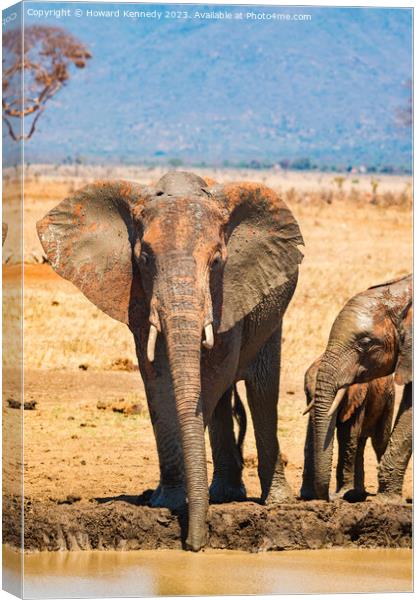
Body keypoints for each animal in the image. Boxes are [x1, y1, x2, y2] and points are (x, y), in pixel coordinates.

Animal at [37, 171, 306, 552]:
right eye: (145, 258)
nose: (194, 544)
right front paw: (169, 500)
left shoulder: (229, 290)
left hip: (274, 307)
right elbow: (155, 377)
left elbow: (214, 373)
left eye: (217, 261)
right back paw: (224, 496)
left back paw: (275, 501)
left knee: (262, 391)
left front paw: (183, 504)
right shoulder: (136, 295)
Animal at [302, 356, 394, 502]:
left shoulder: (359, 395)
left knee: (379, 442)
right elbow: (311, 433)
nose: (330, 498)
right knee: (361, 443)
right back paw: (358, 494)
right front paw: (307, 495)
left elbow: (346, 435)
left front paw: (342, 494)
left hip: (389, 398)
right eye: (307, 392)